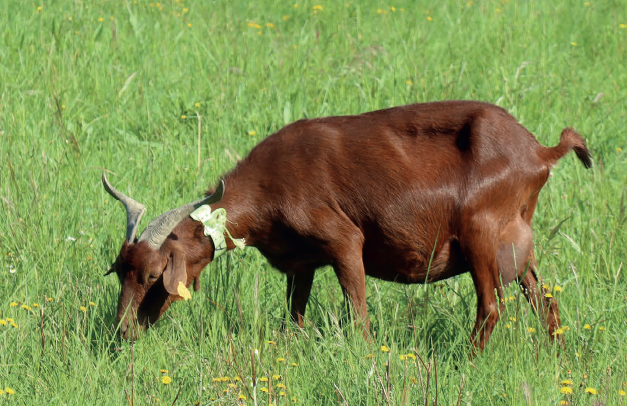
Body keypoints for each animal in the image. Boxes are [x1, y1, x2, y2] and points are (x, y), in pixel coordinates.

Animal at [104, 100, 592, 348]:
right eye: (119, 270)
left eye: (153, 274)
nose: (123, 332)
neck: (269, 185)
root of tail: (539, 152)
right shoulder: (301, 263)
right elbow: (294, 316)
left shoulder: (343, 240)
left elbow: (357, 314)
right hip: (518, 244)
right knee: (545, 302)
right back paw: (555, 357)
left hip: (480, 235)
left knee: (491, 307)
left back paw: (465, 362)